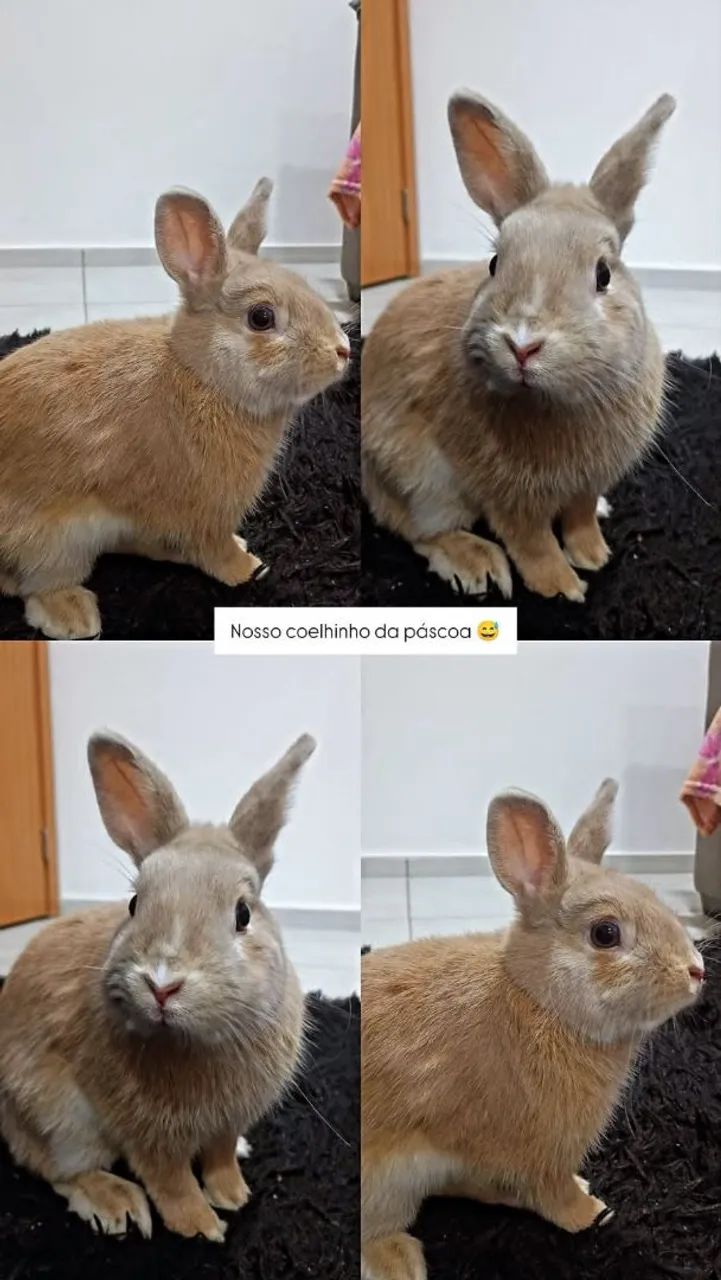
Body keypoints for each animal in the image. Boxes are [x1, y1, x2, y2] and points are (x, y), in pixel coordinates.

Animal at [0, 178, 351, 638]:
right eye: (261, 317)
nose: (343, 350)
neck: (203, 378)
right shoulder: (209, 512)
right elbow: (216, 550)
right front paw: (248, 568)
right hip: (54, 539)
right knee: (39, 583)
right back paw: (74, 616)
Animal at [0, 730, 316, 1242]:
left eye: (243, 914)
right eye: (134, 904)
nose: (162, 983)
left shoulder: (225, 1122)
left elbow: (220, 1156)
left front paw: (234, 1195)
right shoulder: (149, 1136)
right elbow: (171, 1181)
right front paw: (202, 1227)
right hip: (59, 1119)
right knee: (56, 1169)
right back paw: (116, 1203)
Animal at [361, 779, 704, 1280]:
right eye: (605, 933)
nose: (696, 970)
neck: (541, 1002)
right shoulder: (544, 1155)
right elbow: (555, 1195)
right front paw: (592, 1212)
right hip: (384, 1183)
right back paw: (399, 1262)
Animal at [362, 92, 675, 604]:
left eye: (603, 274)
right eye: (495, 263)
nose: (523, 343)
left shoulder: (585, 483)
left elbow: (580, 517)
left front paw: (595, 555)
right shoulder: (511, 496)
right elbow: (532, 541)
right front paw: (562, 587)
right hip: (420, 479)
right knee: (415, 528)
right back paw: (476, 563)